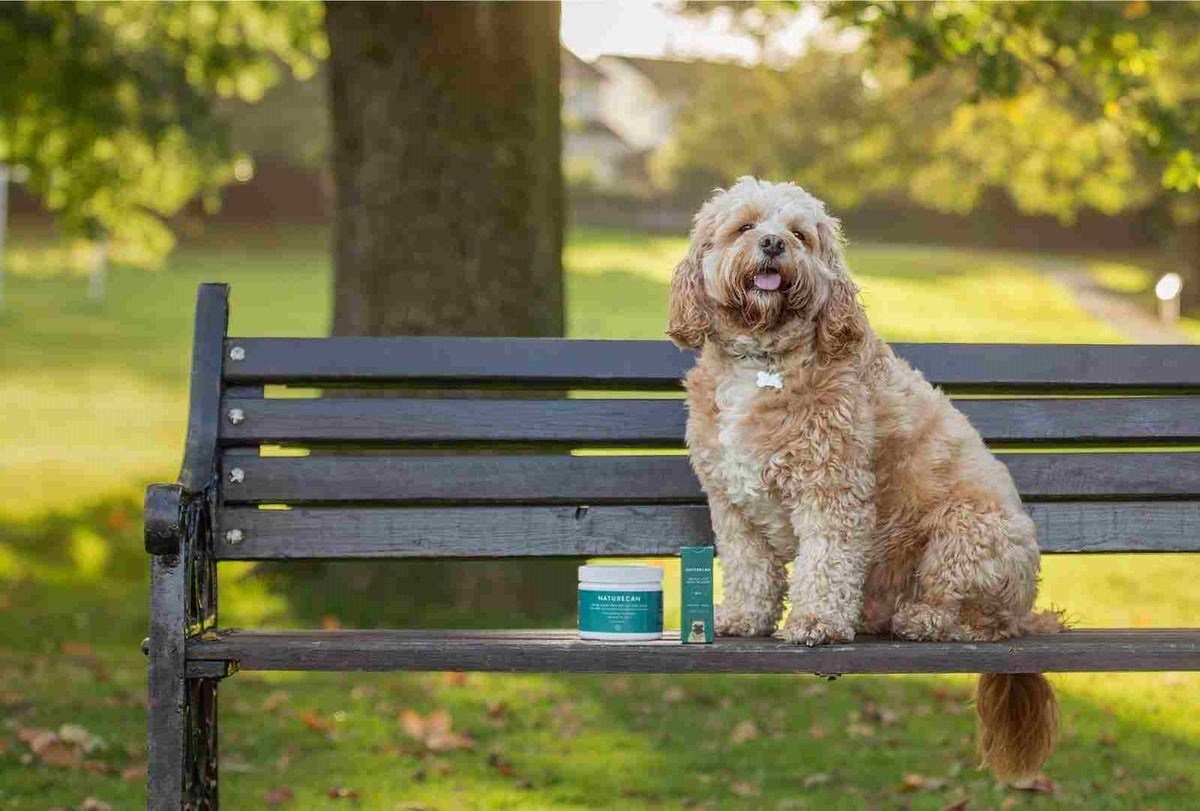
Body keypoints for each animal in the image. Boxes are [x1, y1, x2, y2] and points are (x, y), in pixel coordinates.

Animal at [667, 176, 1060, 777]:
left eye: (799, 233)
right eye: (745, 226)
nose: (773, 245)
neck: (762, 361)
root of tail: (1031, 610)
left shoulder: (831, 486)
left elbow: (825, 562)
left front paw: (815, 622)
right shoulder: (731, 503)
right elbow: (749, 567)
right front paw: (744, 617)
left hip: (967, 531)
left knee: (974, 617)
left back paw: (921, 620)